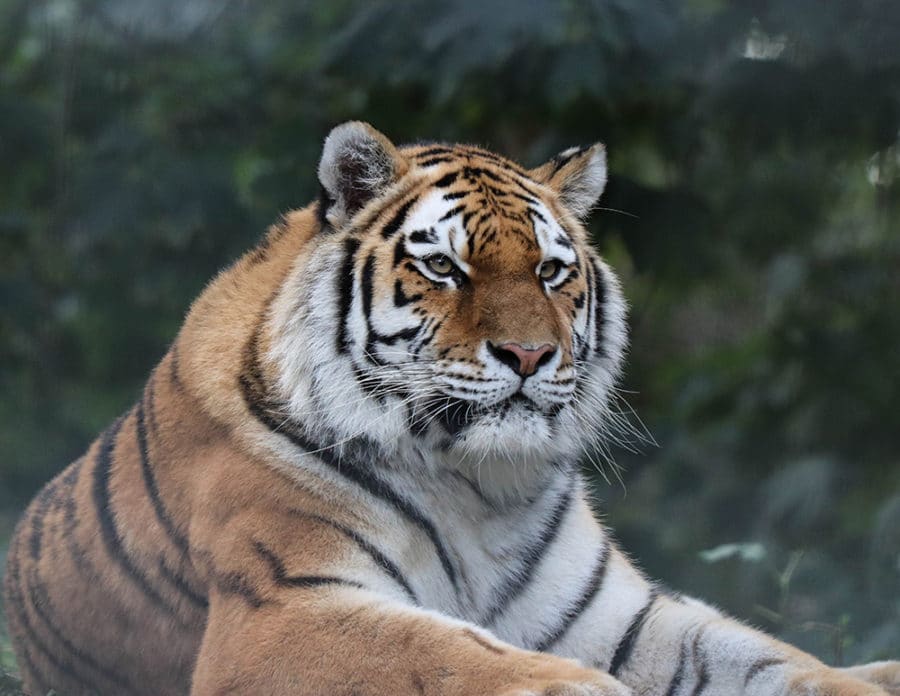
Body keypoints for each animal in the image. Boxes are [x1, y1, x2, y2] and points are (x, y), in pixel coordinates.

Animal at [3, 121, 899, 696]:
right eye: (445, 267)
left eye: (549, 271)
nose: (530, 356)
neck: (476, 484)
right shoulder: (282, 608)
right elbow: (442, 651)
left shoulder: (628, 618)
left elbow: (777, 662)